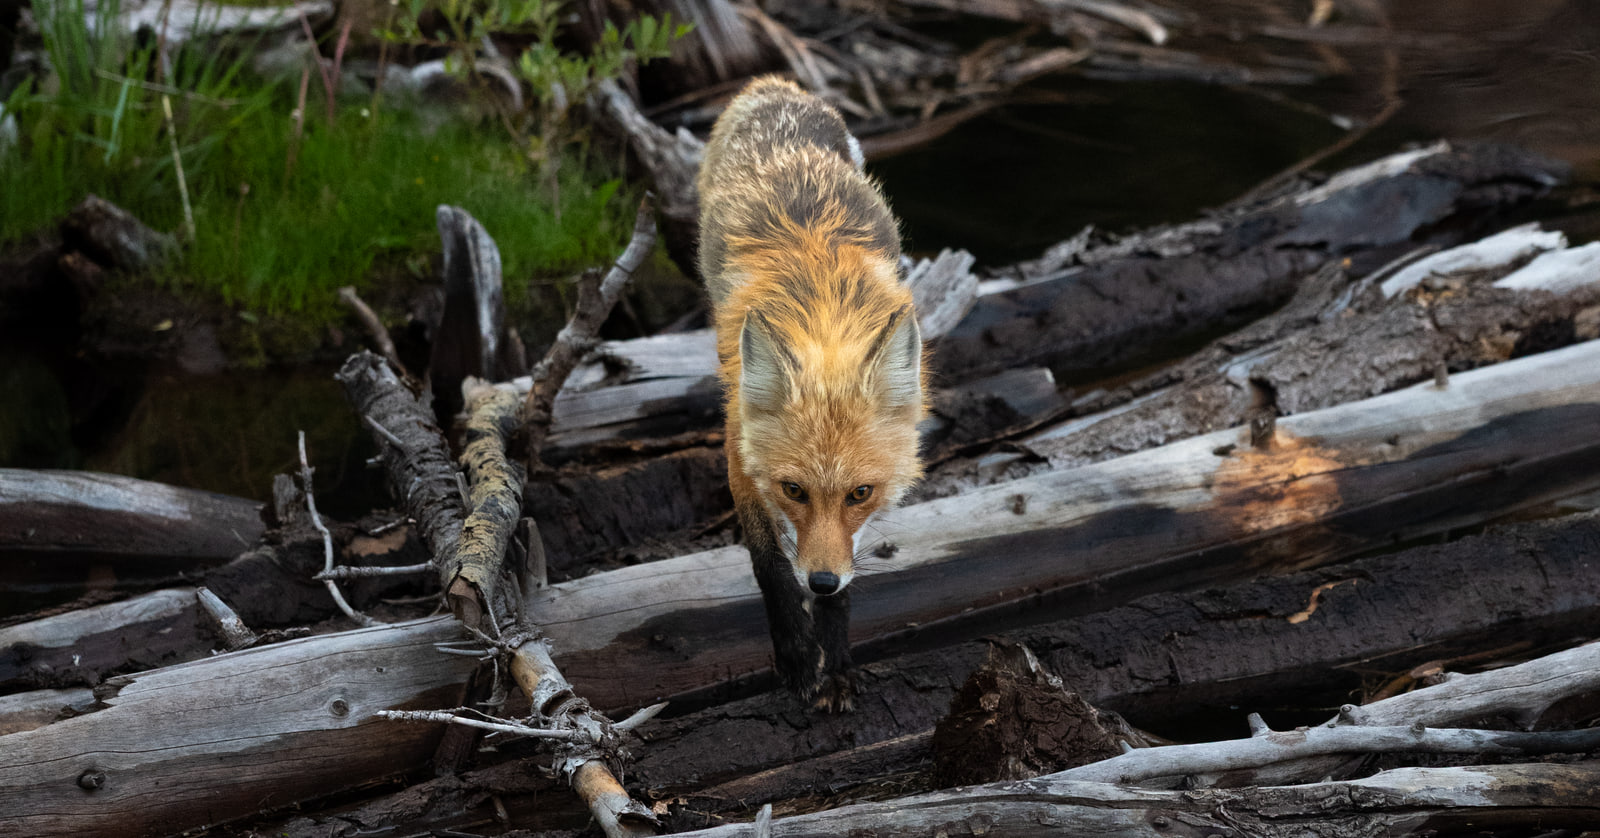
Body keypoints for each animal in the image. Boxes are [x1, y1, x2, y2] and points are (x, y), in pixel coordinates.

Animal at [697, 77, 926, 711]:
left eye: (861, 493)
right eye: (793, 490)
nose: (820, 581)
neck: (823, 314)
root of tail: (773, 86)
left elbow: (845, 577)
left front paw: (837, 660)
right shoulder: (740, 448)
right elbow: (771, 566)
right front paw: (799, 657)